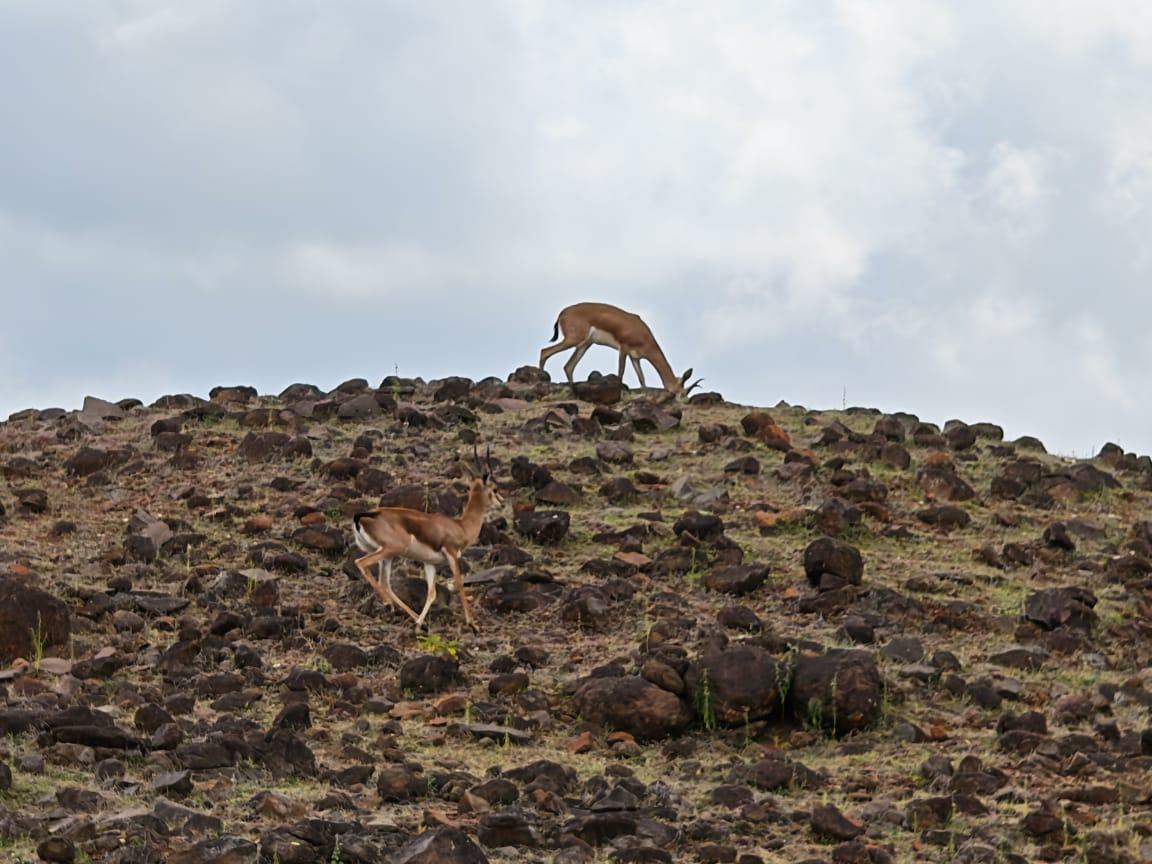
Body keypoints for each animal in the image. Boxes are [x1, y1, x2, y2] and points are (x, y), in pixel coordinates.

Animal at [351, 447, 503, 632]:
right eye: (495, 489)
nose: (502, 503)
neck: (461, 526)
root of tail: (365, 515)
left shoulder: (430, 563)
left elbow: (432, 593)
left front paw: (419, 623)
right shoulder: (452, 554)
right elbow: (459, 584)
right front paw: (472, 624)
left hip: (387, 555)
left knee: (385, 582)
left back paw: (415, 618)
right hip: (390, 550)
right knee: (361, 563)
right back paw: (388, 603)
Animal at [539, 302, 702, 397]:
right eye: (683, 392)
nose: (683, 401)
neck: (642, 332)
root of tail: (562, 313)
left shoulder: (635, 357)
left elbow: (642, 378)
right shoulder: (623, 348)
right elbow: (620, 372)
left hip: (584, 345)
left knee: (568, 366)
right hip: (573, 340)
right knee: (545, 352)